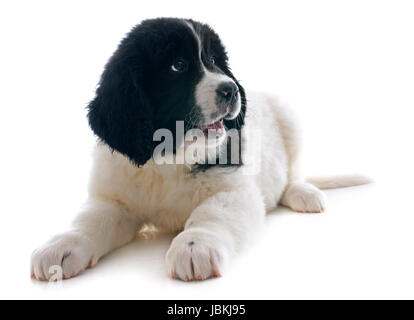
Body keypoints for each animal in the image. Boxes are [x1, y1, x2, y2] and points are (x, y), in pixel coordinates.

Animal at [30, 18, 370, 282]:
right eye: (178, 66)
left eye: (215, 60)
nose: (231, 89)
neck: (169, 157)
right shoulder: (115, 197)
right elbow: (91, 220)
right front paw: (62, 245)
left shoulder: (234, 189)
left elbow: (209, 214)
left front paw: (194, 247)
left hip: (289, 118)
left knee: (293, 173)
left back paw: (304, 193)